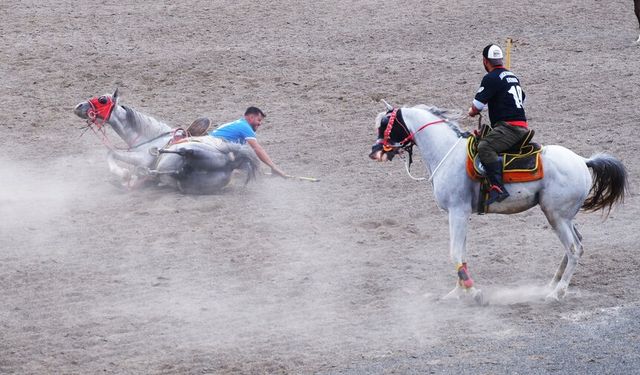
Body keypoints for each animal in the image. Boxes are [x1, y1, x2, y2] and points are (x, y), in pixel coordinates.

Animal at [76, 89, 262, 194]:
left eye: (102, 99)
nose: (78, 106)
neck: (149, 136)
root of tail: (231, 163)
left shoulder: (141, 158)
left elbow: (111, 153)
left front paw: (123, 173)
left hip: (195, 152)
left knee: (186, 152)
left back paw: (160, 154)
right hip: (187, 182)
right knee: (179, 171)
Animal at [370, 104, 624, 304]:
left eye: (385, 125)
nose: (374, 152)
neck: (447, 153)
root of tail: (583, 160)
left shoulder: (457, 212)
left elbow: (455, 253)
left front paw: (473, 293)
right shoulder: (461, 214)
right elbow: (461, 253)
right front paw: (457, 292)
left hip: (556, 216)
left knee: (574, 249)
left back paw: (556, 293)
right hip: (565, 217)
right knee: (577, 244)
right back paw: (551, 285)